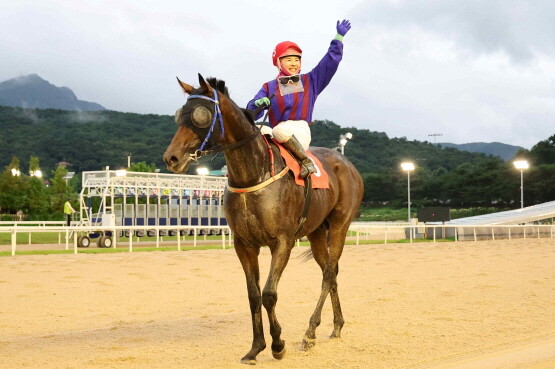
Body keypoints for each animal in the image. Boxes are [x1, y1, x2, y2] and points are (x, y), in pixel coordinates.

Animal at [163, 73, 368, 364]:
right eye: (180, 114)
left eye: (201, 115)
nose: (172, 158)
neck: (253, 174)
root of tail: (346, 163)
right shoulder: (244, 244)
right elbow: (253, 295)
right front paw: (256, 347)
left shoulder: (282, 241)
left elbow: (269, 294)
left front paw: (278, 345)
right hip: (317, 231)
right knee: (331, 271)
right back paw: (335, 326)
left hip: (340, 225)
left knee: (328, 273)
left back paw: (309, 332)